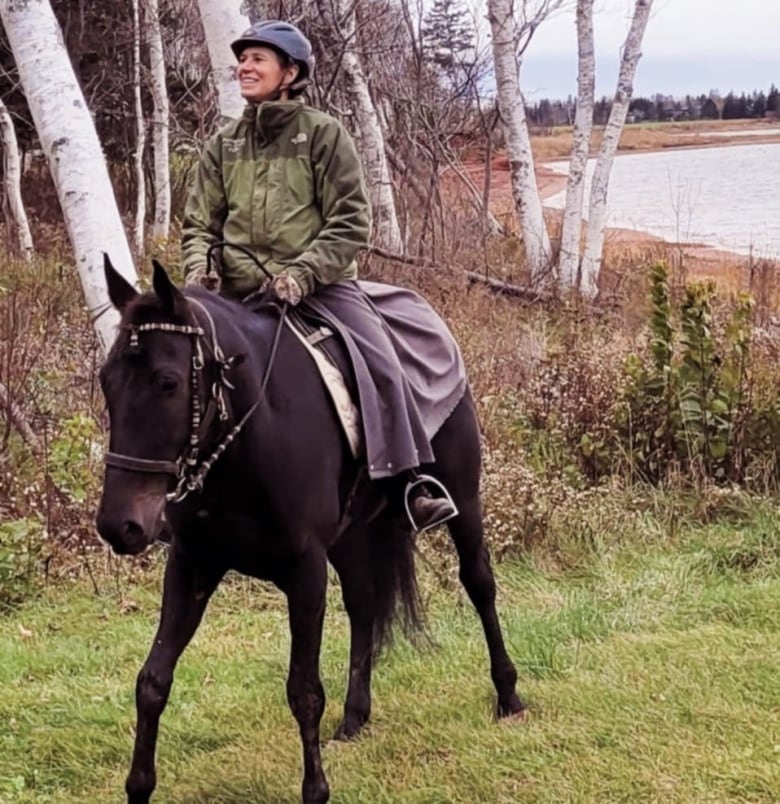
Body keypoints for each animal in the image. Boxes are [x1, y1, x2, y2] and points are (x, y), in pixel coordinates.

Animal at [96, 258, 524, 804]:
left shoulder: (304, 572)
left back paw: (508, 694)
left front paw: (315, 790)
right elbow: (153, 680)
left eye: (167, 382)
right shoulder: (193, 566)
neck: (247, 441)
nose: (119, 526)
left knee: (479, 582)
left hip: (463, 499)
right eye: (107, 381)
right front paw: (139, 786)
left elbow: (303, 690)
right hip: (350, 538)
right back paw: (355, 717)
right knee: (364, 605)